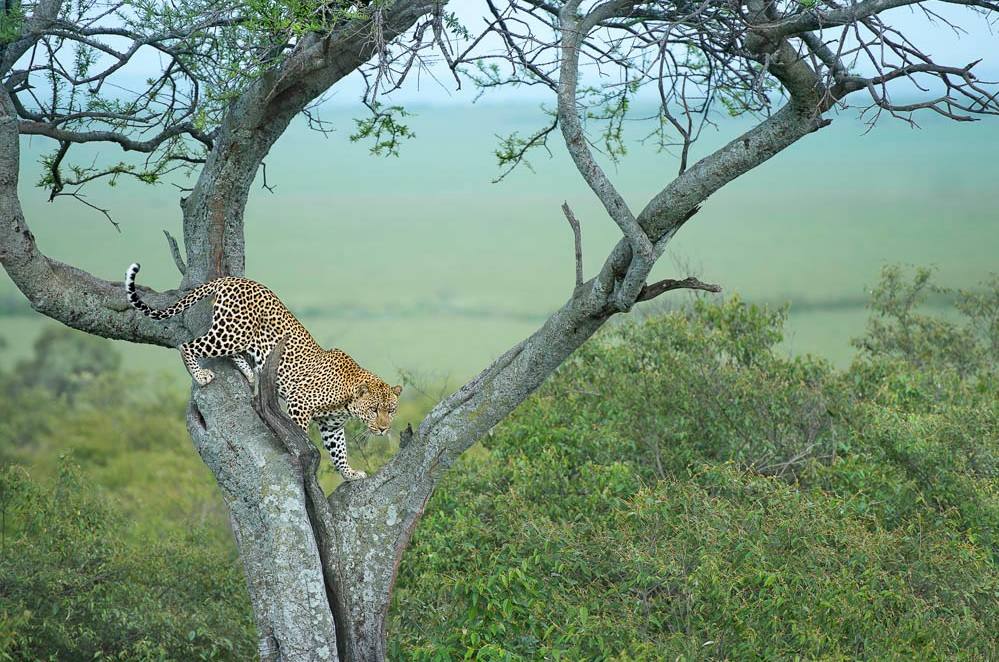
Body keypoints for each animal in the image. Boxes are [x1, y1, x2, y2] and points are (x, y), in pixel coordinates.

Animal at [126, 264, 402, 482]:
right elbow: (301, 435)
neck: (346, 400)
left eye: (391, 410)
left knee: (229, 352)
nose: (383, 429)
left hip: (239, 337)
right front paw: (301, 454)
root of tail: (233, 279)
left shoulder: (332, 428)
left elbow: (340, 452)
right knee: (187, 345)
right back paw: (201, 375)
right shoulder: (299, 403)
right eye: (373, 409)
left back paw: (249, 373)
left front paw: (350, 474)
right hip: (231, 332)